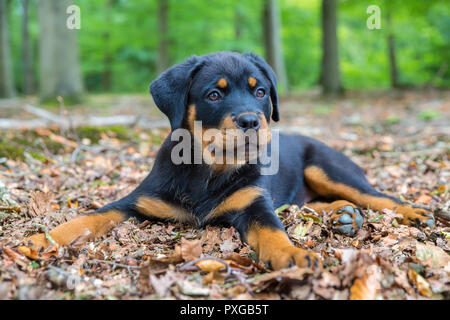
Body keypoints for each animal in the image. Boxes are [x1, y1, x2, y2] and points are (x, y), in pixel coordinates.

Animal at [26, 52, 434, 270]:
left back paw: (411, 212)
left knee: (377, 196)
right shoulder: (136, 201)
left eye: (261, 92)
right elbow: (92, 216)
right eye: (213, 94)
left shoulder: (253, 204)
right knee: (311, 203)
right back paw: (342, 215)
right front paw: (42, 238)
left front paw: (292, 254)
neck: (208, 170)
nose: (252, 121)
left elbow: (272, 230)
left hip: (327, 166)